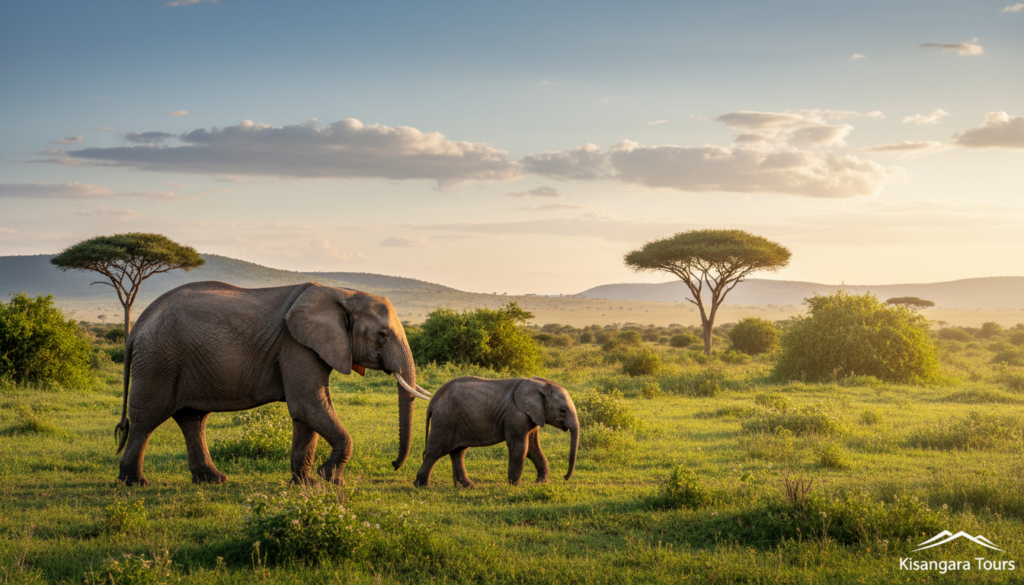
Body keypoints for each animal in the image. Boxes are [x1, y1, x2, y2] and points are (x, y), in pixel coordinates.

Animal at [113, 281, 432, 486]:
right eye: (382, 335)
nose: (394, 465)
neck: (343, 292)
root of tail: (137, 325)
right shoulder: (295, 344)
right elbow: (308, 405)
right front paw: (328, 479)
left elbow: (306, 414)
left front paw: (304, 484)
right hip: (157, 360)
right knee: (146, 419)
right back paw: (135, 483)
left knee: (193, 420)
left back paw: (213, 480)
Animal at [414, 376, 579, 488]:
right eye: (563, 410)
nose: (564, 477)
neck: (540, 385)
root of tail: (434, 399)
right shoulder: (516, 415)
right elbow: (520, 447)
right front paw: (515, 485)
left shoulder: (532, 415)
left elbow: (533, 448)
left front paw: (540, 483)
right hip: (445, 419)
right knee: (436, 451)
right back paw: (422, 486)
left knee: (458, 452)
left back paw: (467, 486)